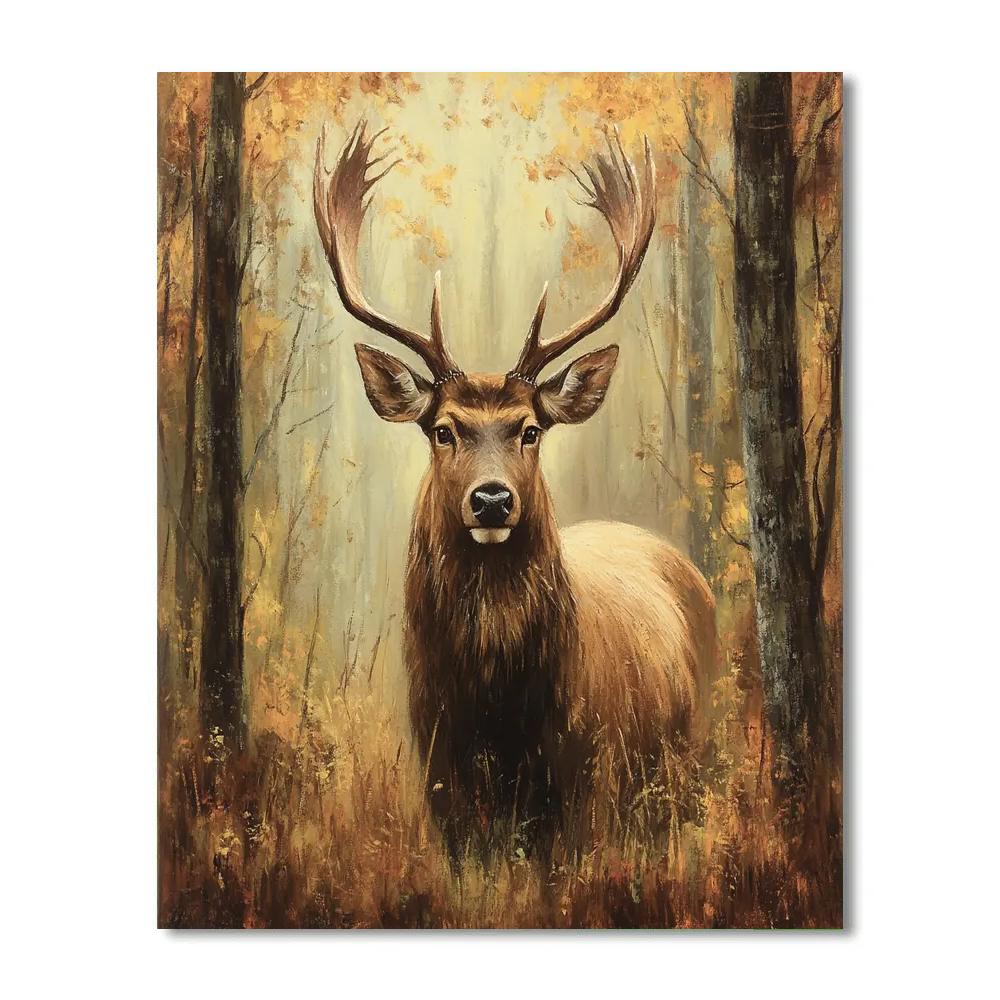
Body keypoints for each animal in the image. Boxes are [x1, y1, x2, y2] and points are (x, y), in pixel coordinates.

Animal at [313, 121, 717, 868]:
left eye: (530, 429)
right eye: (443, 429)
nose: (493, 500)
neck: (496, 715)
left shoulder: (587, 780)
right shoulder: (441, 781)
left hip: (690, 753)